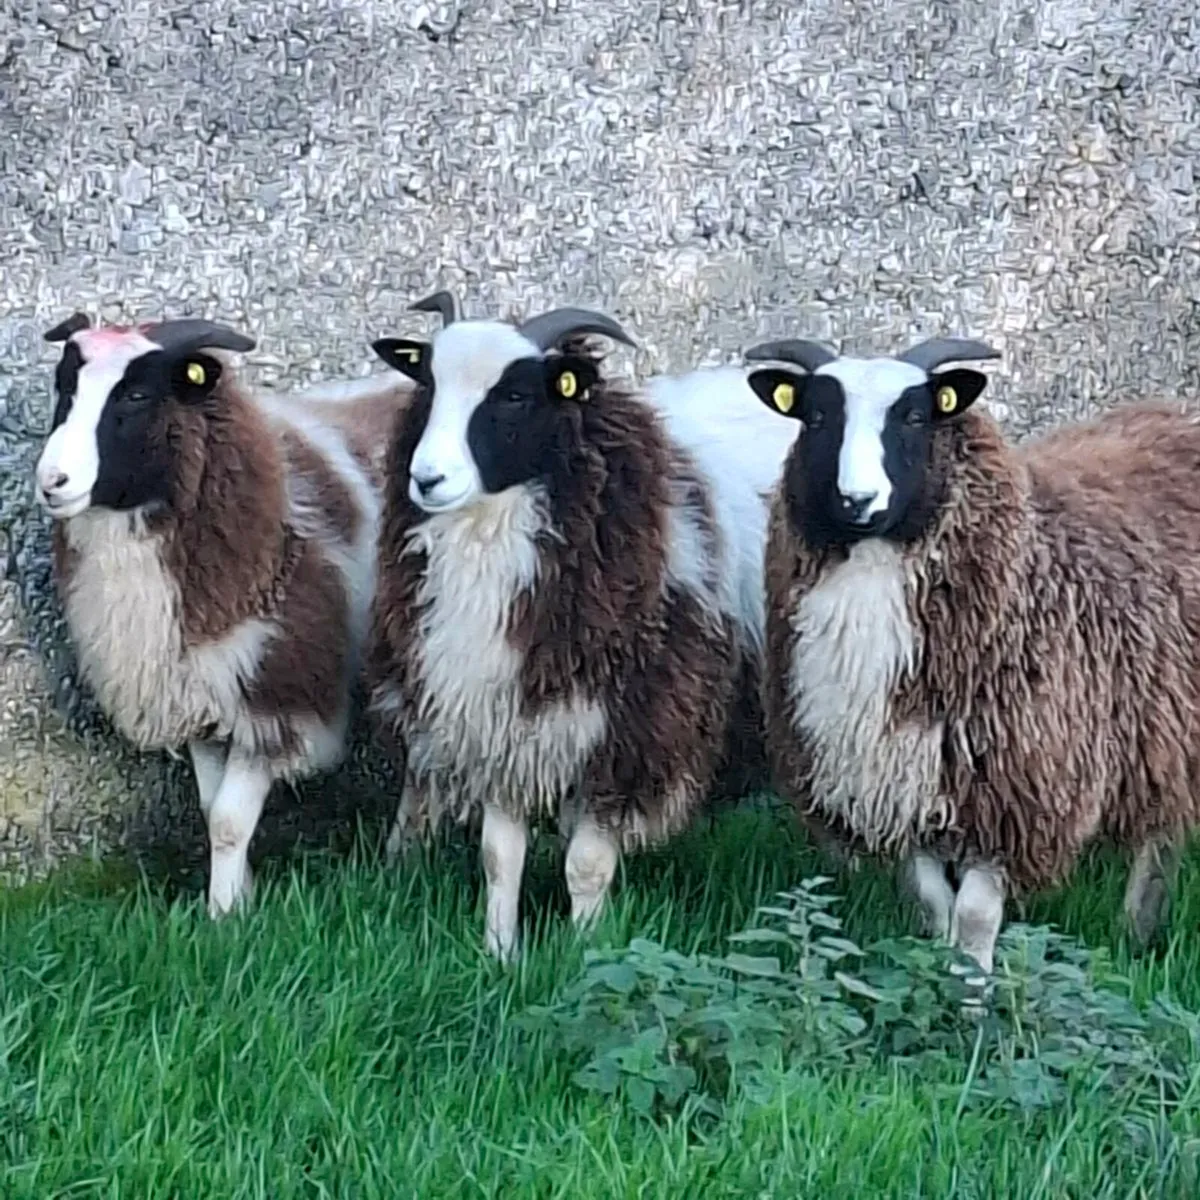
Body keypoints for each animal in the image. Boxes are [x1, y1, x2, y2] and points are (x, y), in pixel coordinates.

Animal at [33, 312, 411, 917]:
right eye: (63, 385)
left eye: (137, 394)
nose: (52, 482)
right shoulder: (201, 696)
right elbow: (213, 811)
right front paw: (242, 893)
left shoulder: (277, 700)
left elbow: (231, 820)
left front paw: (225, 915)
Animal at [365, 290, 799, 960]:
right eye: (428, 383)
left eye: (515, 395)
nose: (426, 478)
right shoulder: (505, 724)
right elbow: (500, 856)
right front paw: (500, 951)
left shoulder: (626, 734)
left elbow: (586, 866)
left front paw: (586, 952)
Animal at [742, 332, 1200, 975]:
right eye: (816, 416)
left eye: (915, 416)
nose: (857, 501)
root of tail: (1175, 415)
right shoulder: (899, 788)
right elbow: (935, 909)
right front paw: (936, 979)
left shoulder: (1012, 793)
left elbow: (977, 918)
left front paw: (970, 993)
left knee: (1159, 839)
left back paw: (1137, 926)